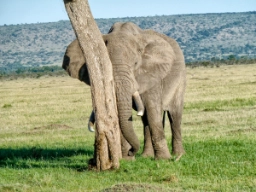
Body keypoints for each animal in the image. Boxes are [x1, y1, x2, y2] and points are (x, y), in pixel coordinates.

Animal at [62, 21, 186, 160]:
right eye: (104, 66)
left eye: (136, 64)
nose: (132, 151)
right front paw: (127, 159)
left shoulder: (152, 73)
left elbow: (152, 110)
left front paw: (164, 159)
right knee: (145, 120)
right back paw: (146, 156)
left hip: (180, 79)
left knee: (174, 116)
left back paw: (179, 154)